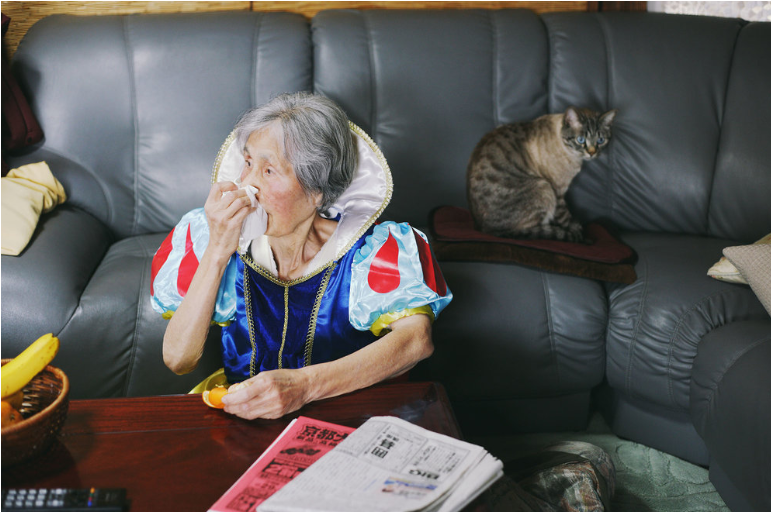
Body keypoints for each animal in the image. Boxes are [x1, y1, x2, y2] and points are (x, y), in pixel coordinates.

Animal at [466, 107, 617, 243]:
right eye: (581, 140)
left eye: (600, 140)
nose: (592, 153)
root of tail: (486, 230)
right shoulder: (558, 192)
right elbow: (565, 219)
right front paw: (578, 234)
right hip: (543, 187)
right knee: (529, 230)